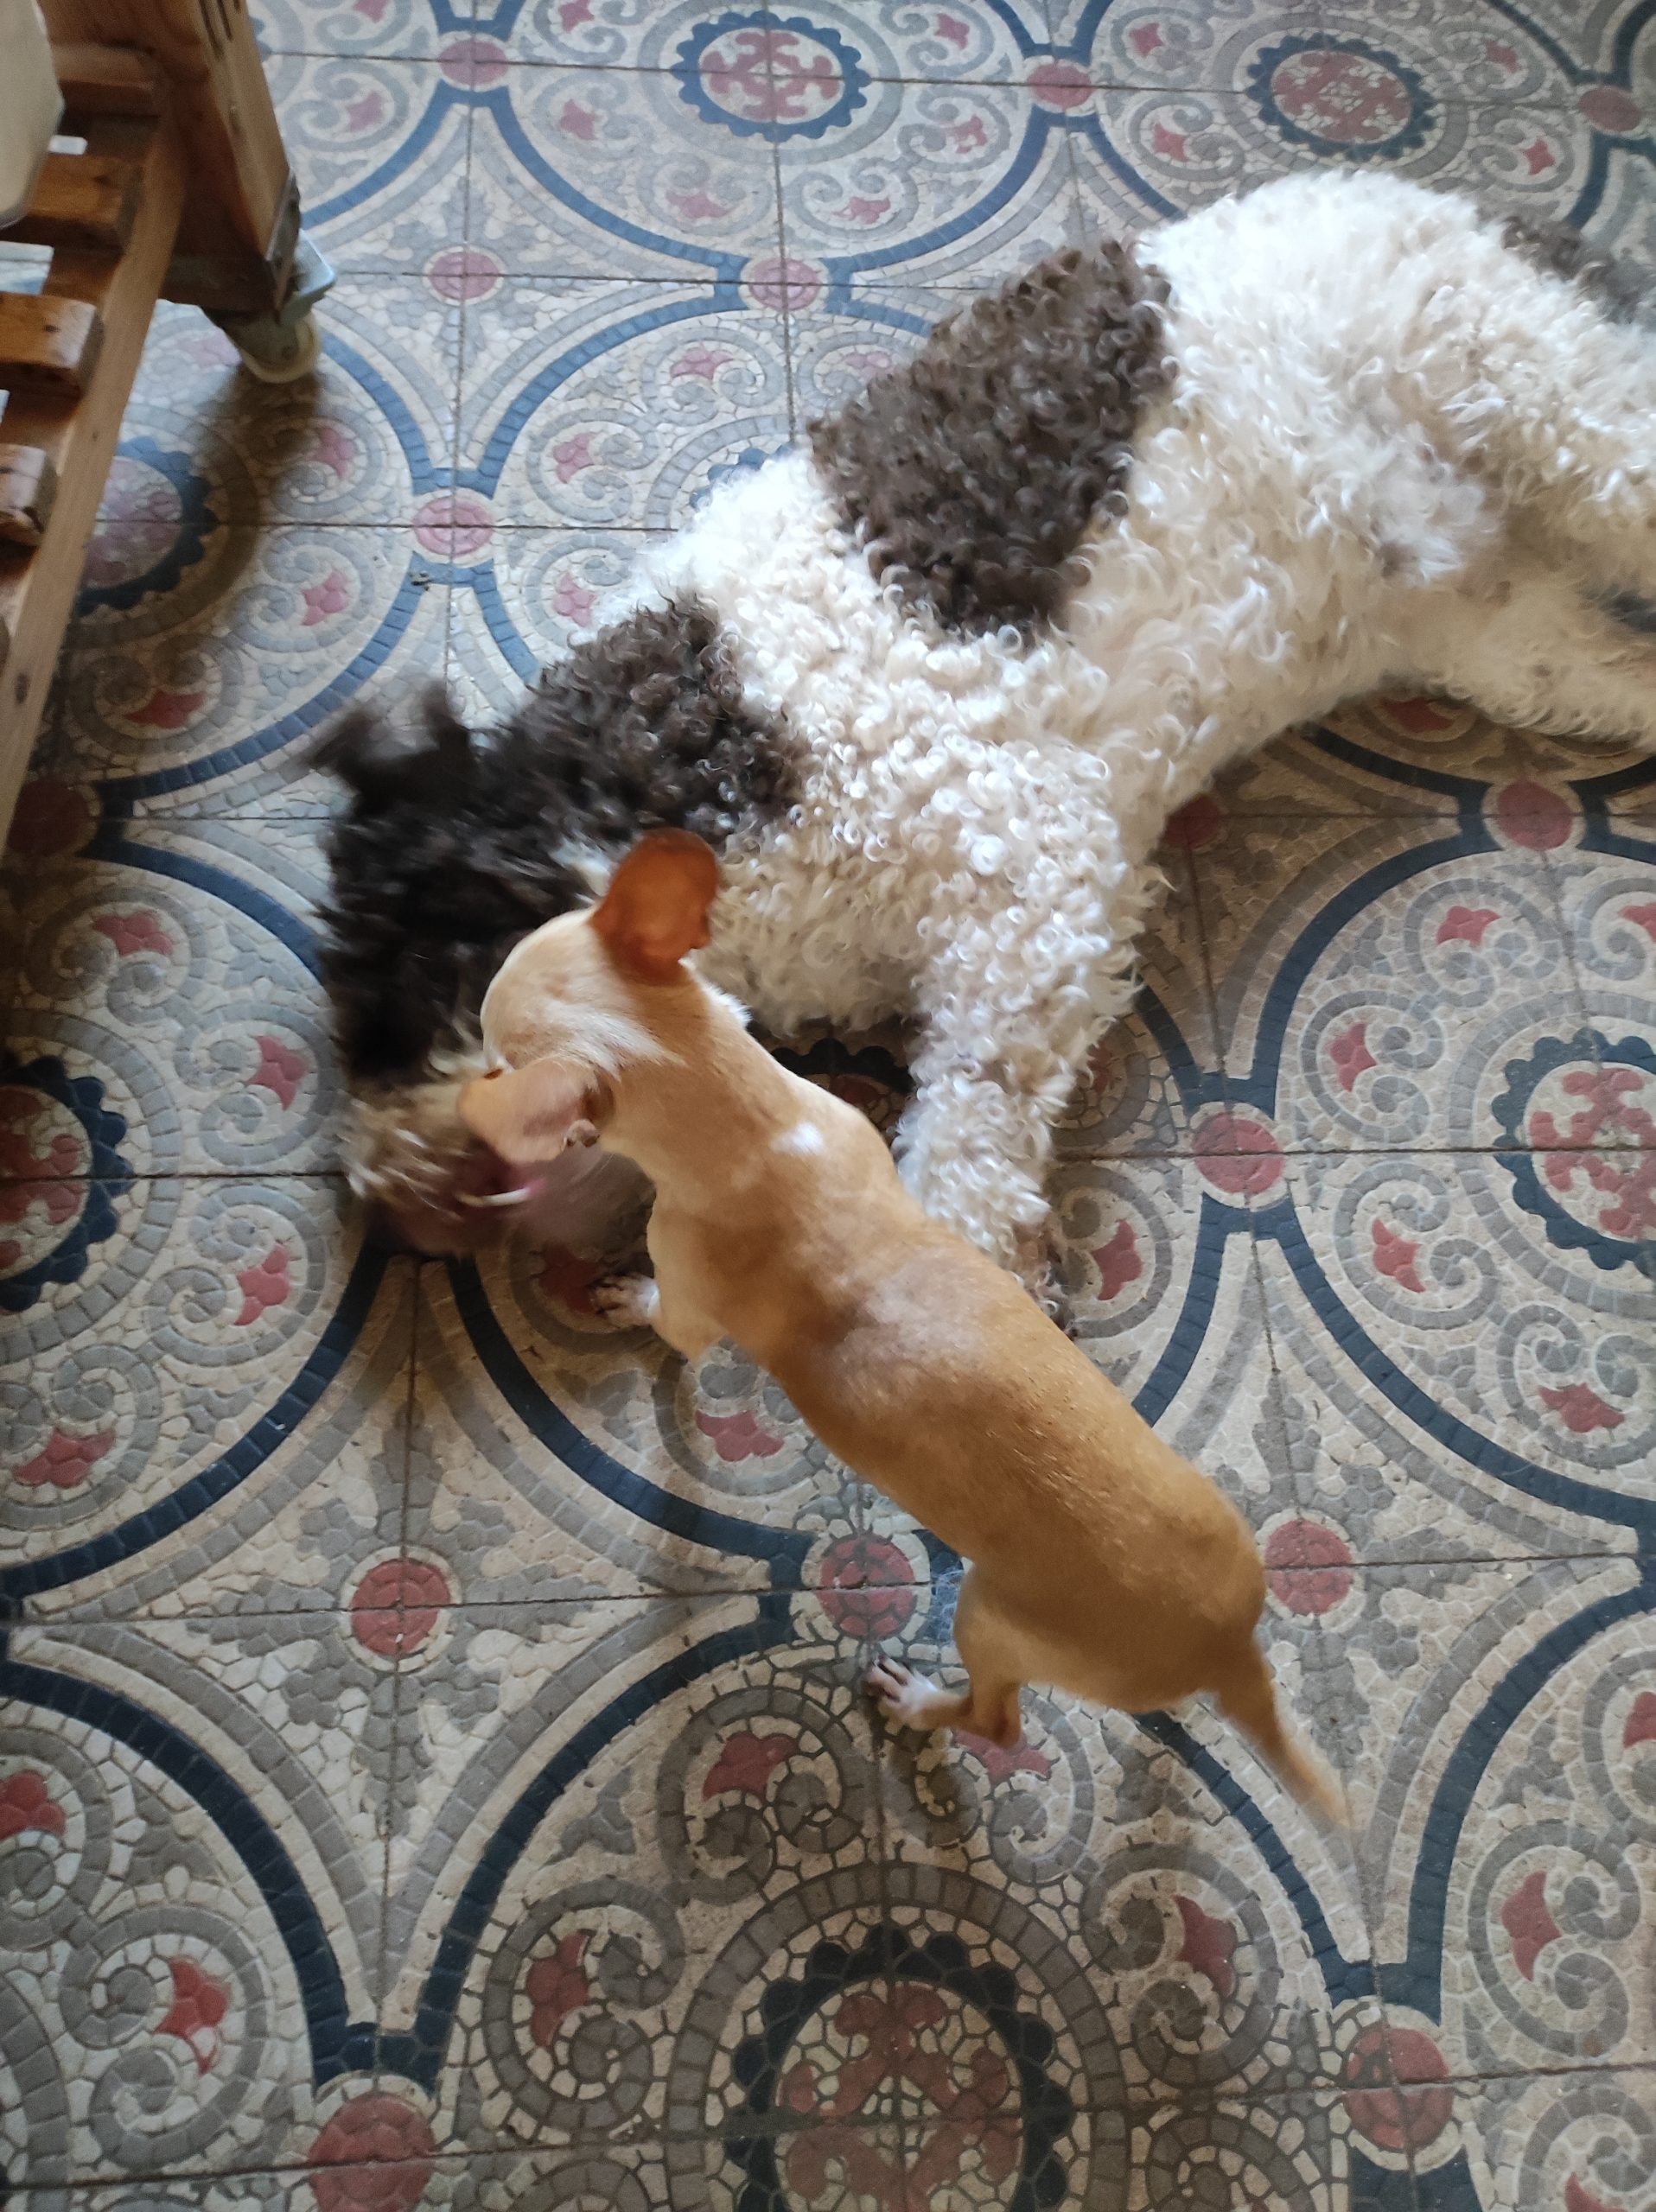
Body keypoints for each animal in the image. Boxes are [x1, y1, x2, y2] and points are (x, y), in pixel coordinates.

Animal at [315, 171, 1656, 1295]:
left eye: (403, 999)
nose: (388, 1214)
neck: (718, 764)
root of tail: (1483, 209)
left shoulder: (1041, 886)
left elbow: (966, 1138)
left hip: (1558, 415)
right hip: (1509, 639)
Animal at [457, 829, 1344, 1818]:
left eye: (490, 1045)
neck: (740, 1112)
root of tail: (1228, 1649)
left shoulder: (687, 1297)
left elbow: (664, 1318)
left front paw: (625, 1298)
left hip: (989, 1618)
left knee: (1000, 1722)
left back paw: (917, 1702)